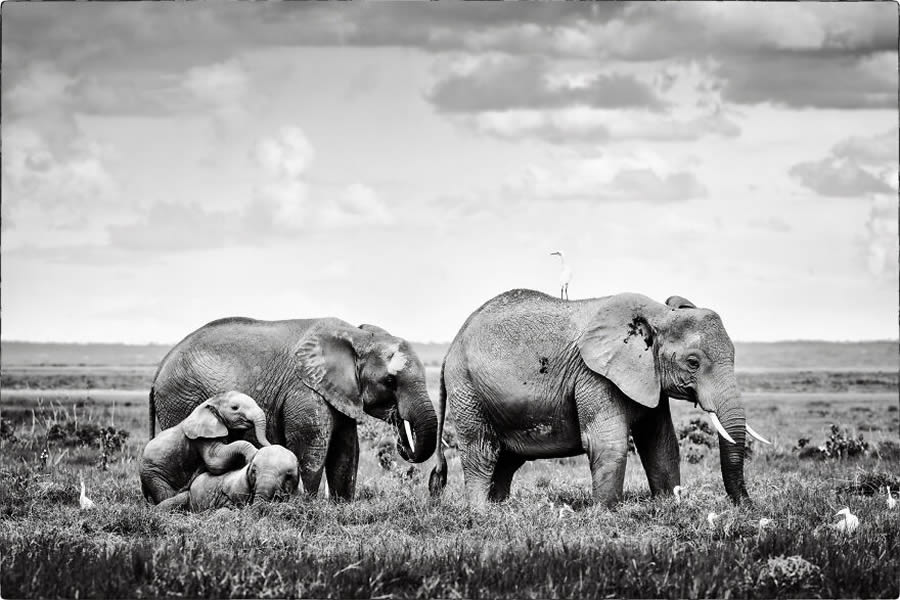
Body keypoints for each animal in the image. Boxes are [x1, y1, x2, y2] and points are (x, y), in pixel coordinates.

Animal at [141, 392, 270, 504]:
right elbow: (215, 462)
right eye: (235, 408)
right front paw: (253, 455)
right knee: (164, 493)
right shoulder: (202, 437)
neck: (211, 402)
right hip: (153, 474)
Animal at [428, 290, 768, 506]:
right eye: (693, 362)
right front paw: (606, 514)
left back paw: (499, 510)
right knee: (481, 451)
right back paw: (481, 514)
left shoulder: (648, 378)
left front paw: (670, 505)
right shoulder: (593, 375)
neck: (658, 313)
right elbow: (609, 443)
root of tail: (451, 347)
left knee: (507, 459)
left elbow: (661, 444)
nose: (748, 506)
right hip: (467, 389)